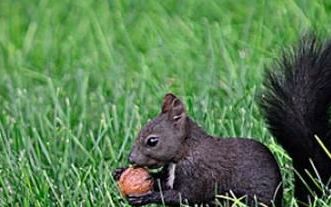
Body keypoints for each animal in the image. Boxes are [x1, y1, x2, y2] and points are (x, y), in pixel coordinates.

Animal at [114, 37, 331, 207]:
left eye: (152, 141)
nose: (131, 159)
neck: (187, 151)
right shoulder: (171, 172)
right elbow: (162, 182)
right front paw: (120, 172)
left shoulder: (199, 175)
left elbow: (183, 196)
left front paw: (146, 197)